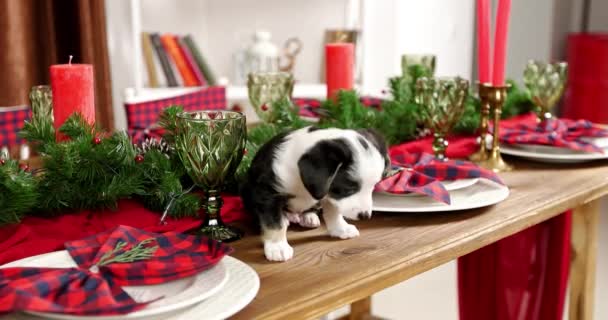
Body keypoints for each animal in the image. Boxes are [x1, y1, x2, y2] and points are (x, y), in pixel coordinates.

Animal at [242, 126, 390, 262]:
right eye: (349, 189)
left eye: (373, 187)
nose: (365, 216)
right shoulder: (268, 194)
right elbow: (274, 222)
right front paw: (277, 247)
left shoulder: (328, 194)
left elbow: (333, 212)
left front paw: (340, 228)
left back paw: (308, 217)